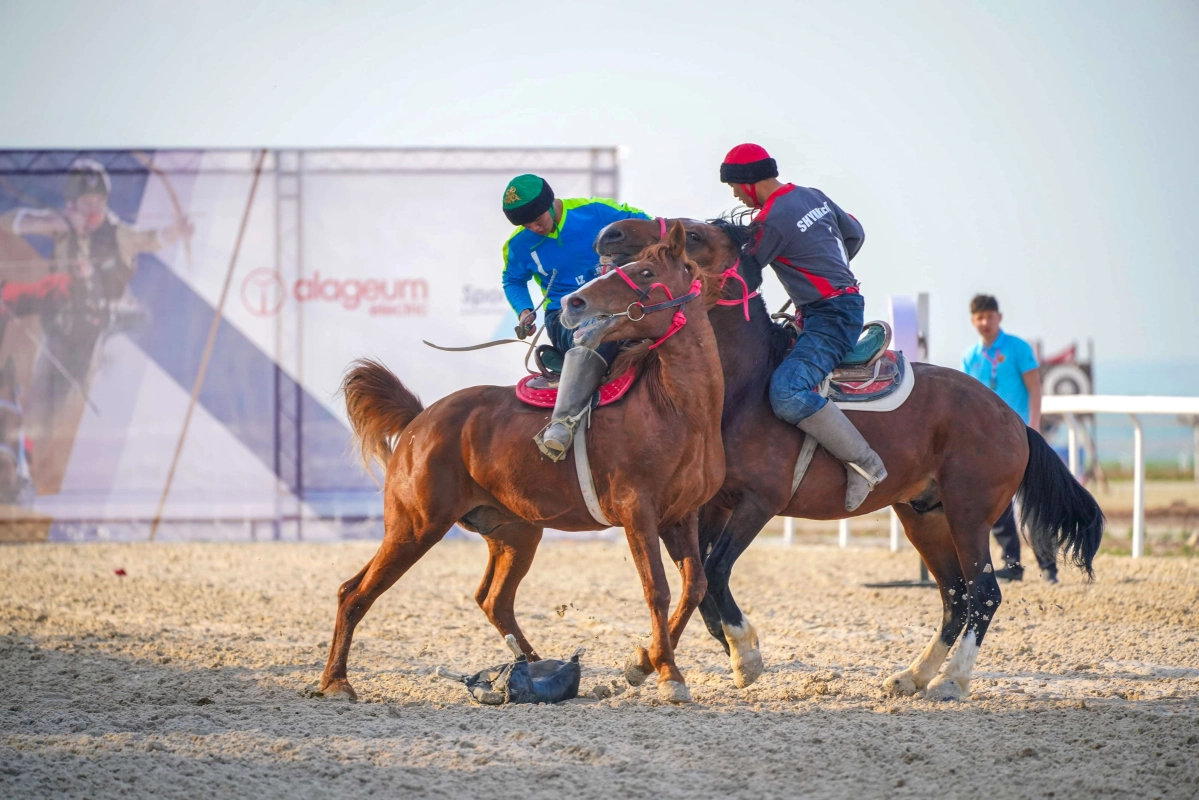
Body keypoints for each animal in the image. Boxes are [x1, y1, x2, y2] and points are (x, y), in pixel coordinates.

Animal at [318, 221, 724, 705]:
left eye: (645, 271)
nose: (574, 302)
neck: (675, 408)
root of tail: (420, 419)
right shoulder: (637, 513)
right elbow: (657, 590)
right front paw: (668, 674)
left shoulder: (682, 516)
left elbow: (694, 587)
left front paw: (643, 664)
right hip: (414, 526)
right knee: (354, 592)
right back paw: (336, 681)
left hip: (514, 532)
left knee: (494, 600)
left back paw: (535, 671)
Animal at [592, 217, 1103, 700]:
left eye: (693, 236)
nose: (609, 234)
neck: (744, 384)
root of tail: (1013, 420)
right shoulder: (714, 504)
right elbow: (696, 581)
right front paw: (659, 658)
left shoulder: (760, 501)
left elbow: (715, 571)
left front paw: (745, 655)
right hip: (924, 516)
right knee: (955, 597)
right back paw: (913, 676)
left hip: (969, 515)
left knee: (984, 594)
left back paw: (951, 681)